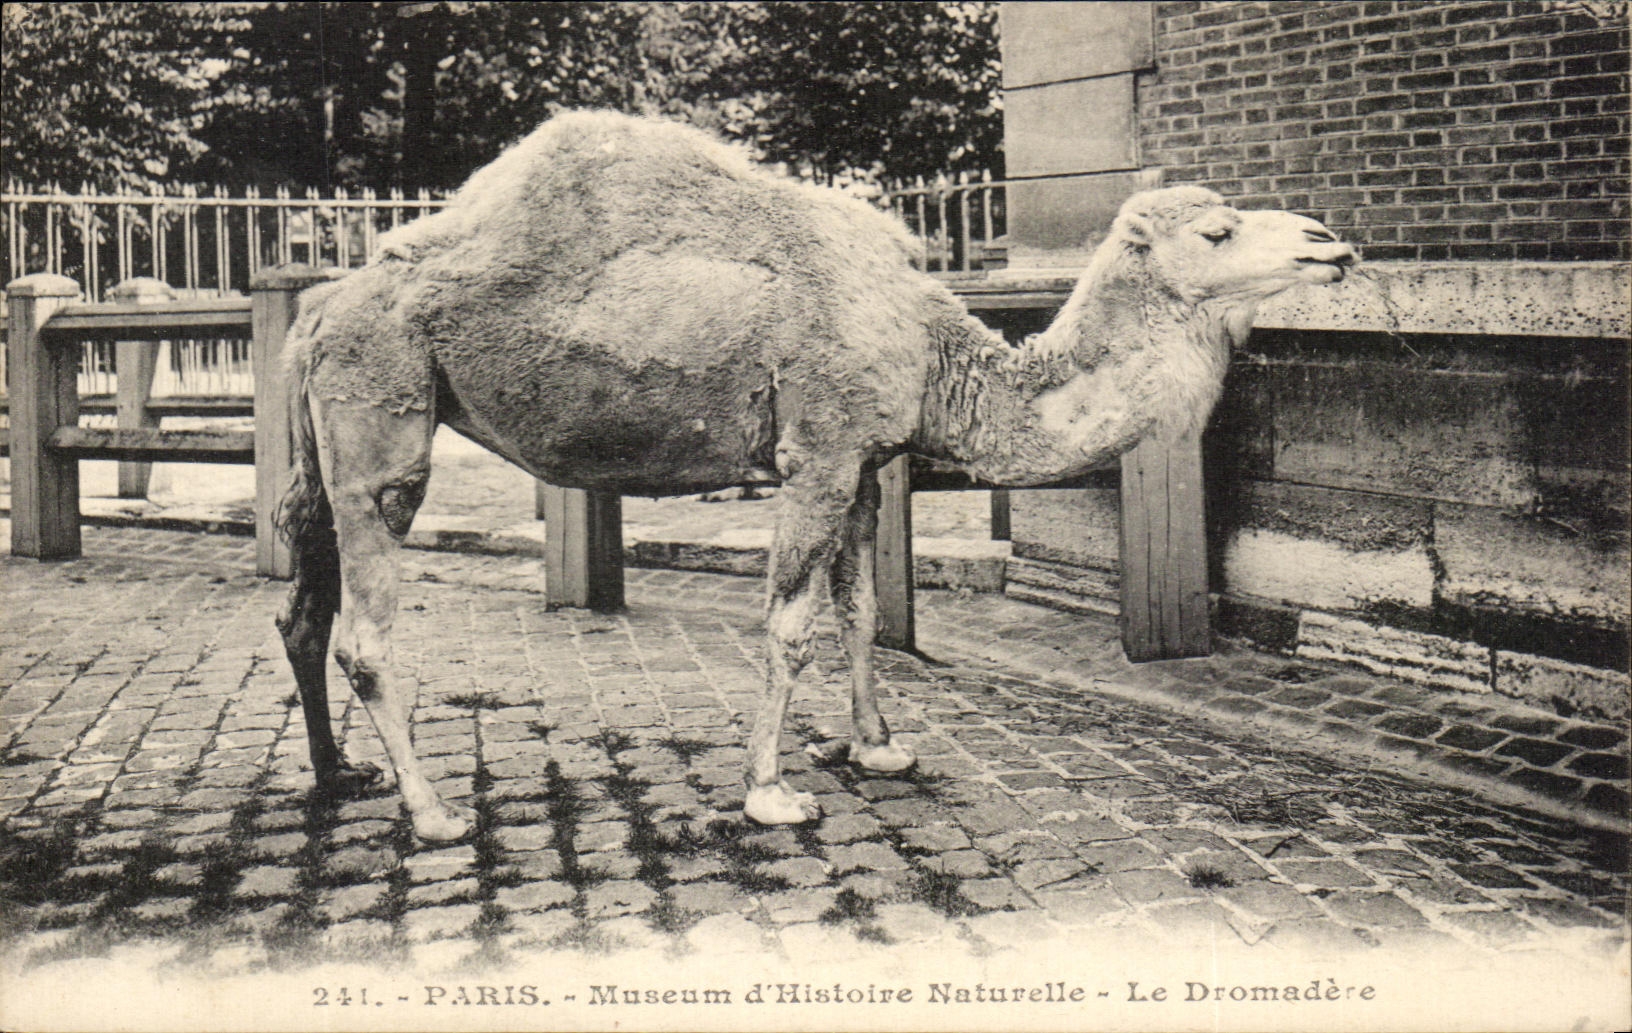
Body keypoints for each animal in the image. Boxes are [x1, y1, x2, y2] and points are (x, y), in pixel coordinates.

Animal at [276, 111, 1356, 841]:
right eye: (1216, 233)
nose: (1332, 244)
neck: (932, 348)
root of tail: (319, 307)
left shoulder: (868, 464)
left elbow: (861, 609)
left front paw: (876, 743)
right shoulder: (817, 454)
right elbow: (790, 624)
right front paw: (770, 792)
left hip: (330, 447)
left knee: (301, 608)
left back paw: (339, 774)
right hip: (385, 422)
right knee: (365, 626)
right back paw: (432, 811)